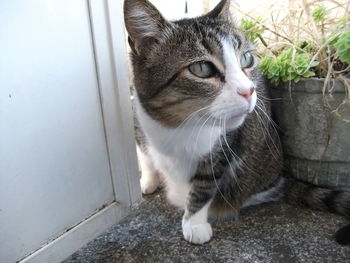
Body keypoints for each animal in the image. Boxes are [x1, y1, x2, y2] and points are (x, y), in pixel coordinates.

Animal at [123, 0, 350, 245]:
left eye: (246, 59)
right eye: (201, 68)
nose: (248, 90)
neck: (175, 124)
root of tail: (279, 180)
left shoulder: (223, 146)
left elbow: (203, 186)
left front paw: (194, 224)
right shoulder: (137, 116)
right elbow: (145, 154)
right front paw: (147, 180)